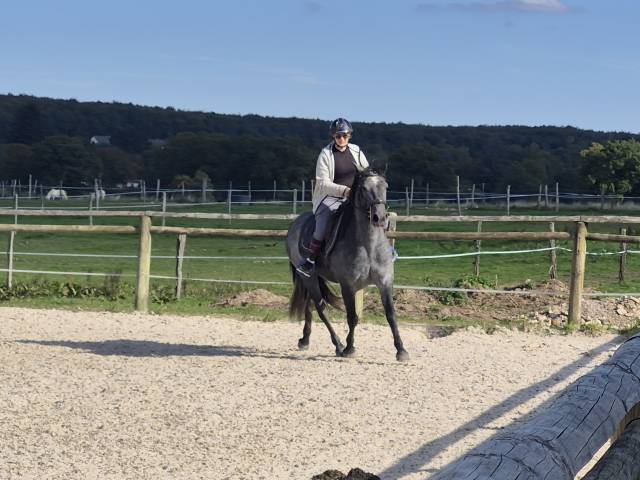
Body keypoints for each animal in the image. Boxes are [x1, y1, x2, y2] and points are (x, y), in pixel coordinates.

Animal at [286, 169, 409, 362]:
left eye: (386, 187)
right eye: (364, 188)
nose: (379, 217)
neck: (368, 246)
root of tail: (296, 224)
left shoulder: (385, 282)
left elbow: (391, 315)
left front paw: (401, 350)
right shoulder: (348, 286)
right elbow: (353, 317)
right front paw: (349, 348)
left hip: (313, 278)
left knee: (310, 304)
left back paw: (305, 340)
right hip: (309, 277)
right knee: (321, 308)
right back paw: (338, 345)